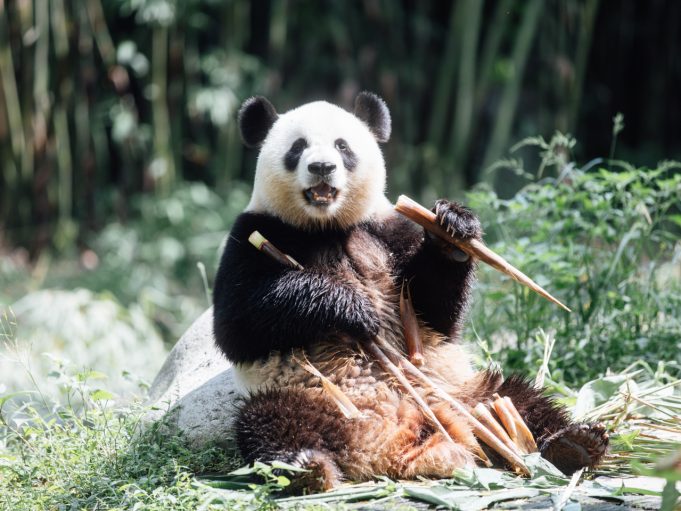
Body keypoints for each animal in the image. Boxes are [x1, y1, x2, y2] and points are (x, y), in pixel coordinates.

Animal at [213, 92, 608, 492]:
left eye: (343, 146)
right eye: (297, 147)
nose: (322, 166)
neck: (329, 225)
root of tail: (394, 439)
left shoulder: (389, 230)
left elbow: (434, 311)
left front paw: (453, 227)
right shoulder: (254, 233)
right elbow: (239, 322)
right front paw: (350, 309)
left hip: (465, 391)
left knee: (520, 398)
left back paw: (574, 444)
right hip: (313, 396)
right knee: (268, 422)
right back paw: (306, 467)